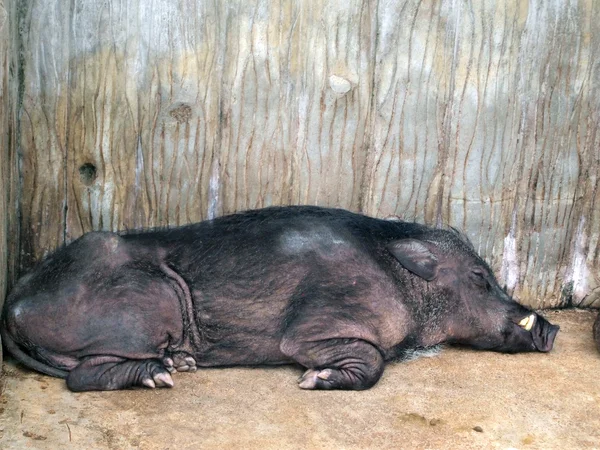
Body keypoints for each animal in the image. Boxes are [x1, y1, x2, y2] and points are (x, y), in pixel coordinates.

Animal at [0, 205, 556, 390]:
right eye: (481, 277)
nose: (551, 328)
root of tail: (13, 305)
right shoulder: (315, 327)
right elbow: (371, 360)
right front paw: (313, 381)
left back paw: (179, 364)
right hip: (146, 307)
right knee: (80, 377)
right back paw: (163, 375)